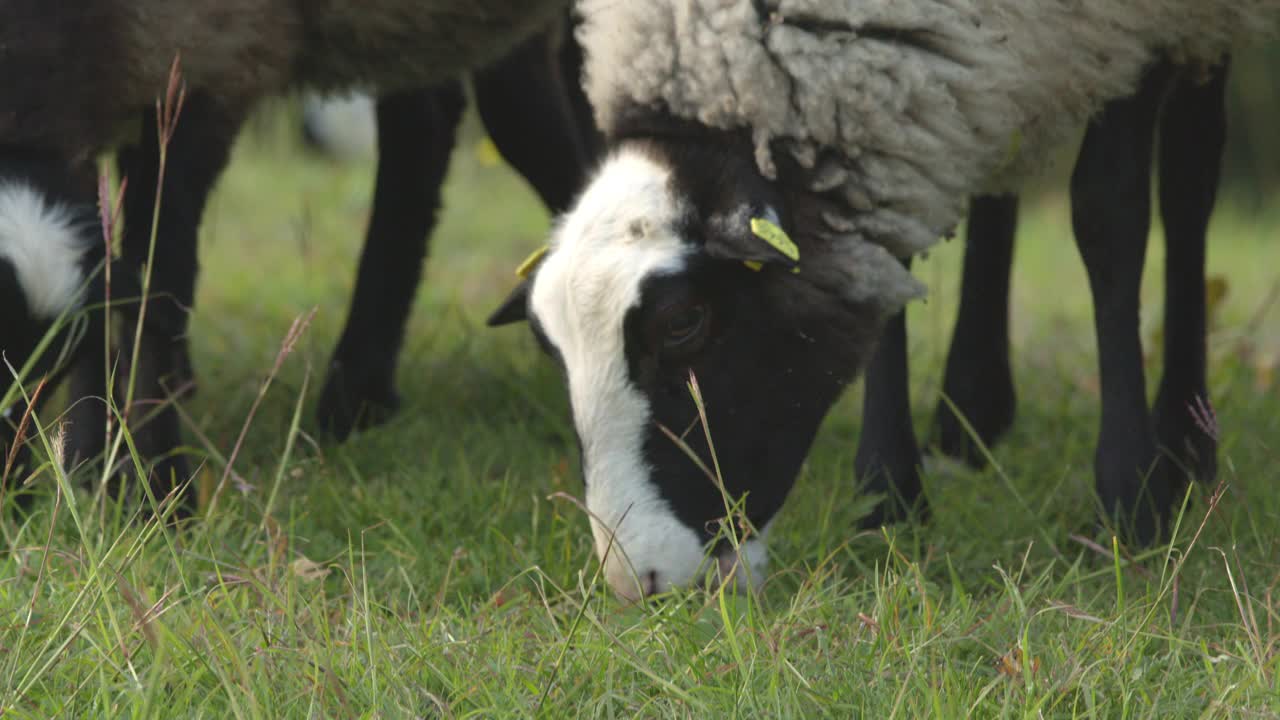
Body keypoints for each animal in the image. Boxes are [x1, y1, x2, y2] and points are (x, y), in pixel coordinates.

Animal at [0, 2, 581, 512]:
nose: (9, 502)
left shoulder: (215, 57)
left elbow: (158, 276)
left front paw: (157, 492)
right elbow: (108, 274)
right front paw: (88, 459)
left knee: (482, 112)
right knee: (436, 112)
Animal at [483, 0, 1274, 597]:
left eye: (683, 322)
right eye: (548, 346)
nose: (639, 582)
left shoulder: (1133, 27)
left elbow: (1108, 212)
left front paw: (1130, 503)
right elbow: (889, 253)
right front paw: (888, 497)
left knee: (1191, 172)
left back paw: (1185, 439)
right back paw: (971, 412)